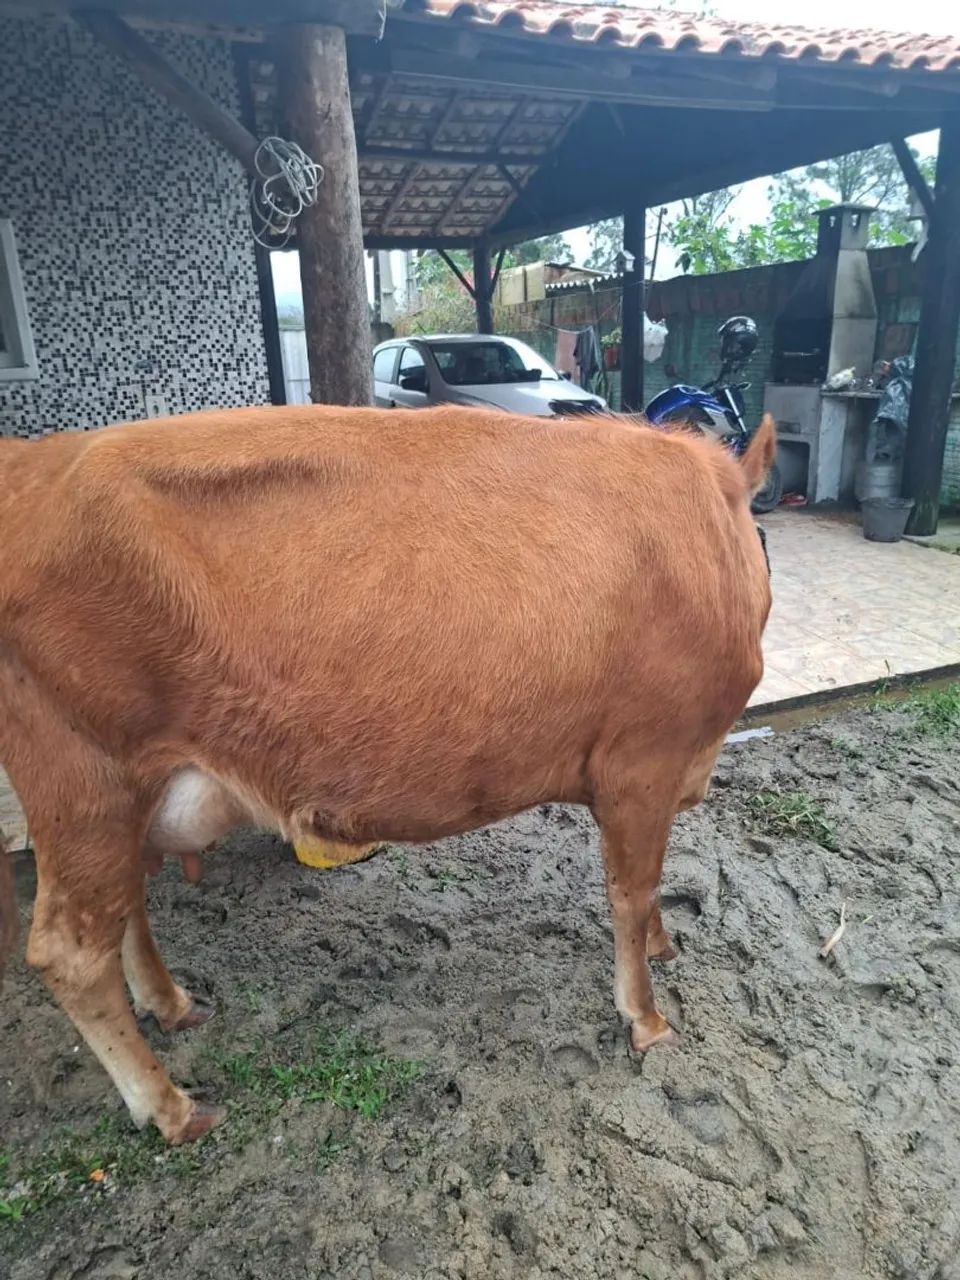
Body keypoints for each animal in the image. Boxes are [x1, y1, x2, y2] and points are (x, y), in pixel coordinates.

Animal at [0, 405, 774, 1144]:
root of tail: (33, 459)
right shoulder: (642, 762)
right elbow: (631, 892)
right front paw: (646, 1018)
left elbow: (647, 894)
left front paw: (664, 947)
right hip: (82, 782)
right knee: (70, 952)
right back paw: (170, 1106)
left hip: (120, 795)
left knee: (123, 908)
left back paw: (172, 1004)